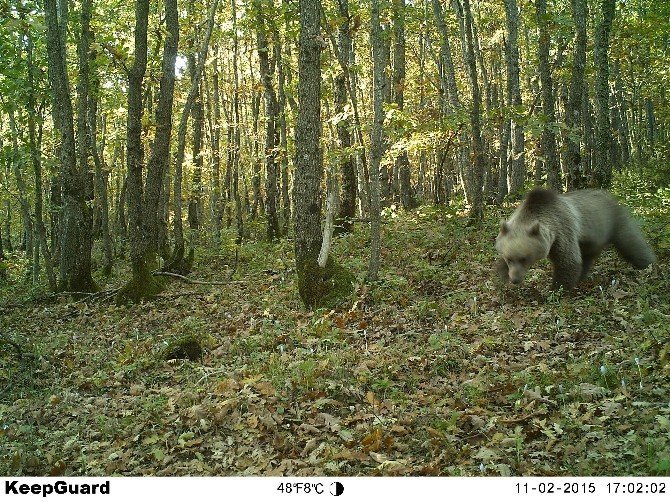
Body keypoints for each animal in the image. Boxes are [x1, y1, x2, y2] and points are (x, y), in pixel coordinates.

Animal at [496, 188, 660, 290]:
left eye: (525, 258)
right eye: (509, 258)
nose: (515, 279)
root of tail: (611, 196)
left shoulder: (562, 233)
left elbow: (568, 262)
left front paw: (555, 289)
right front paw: (501, 276)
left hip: (615, 221)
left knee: (632, 243)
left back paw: (649, 264)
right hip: (592, 239)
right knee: (587, 258)